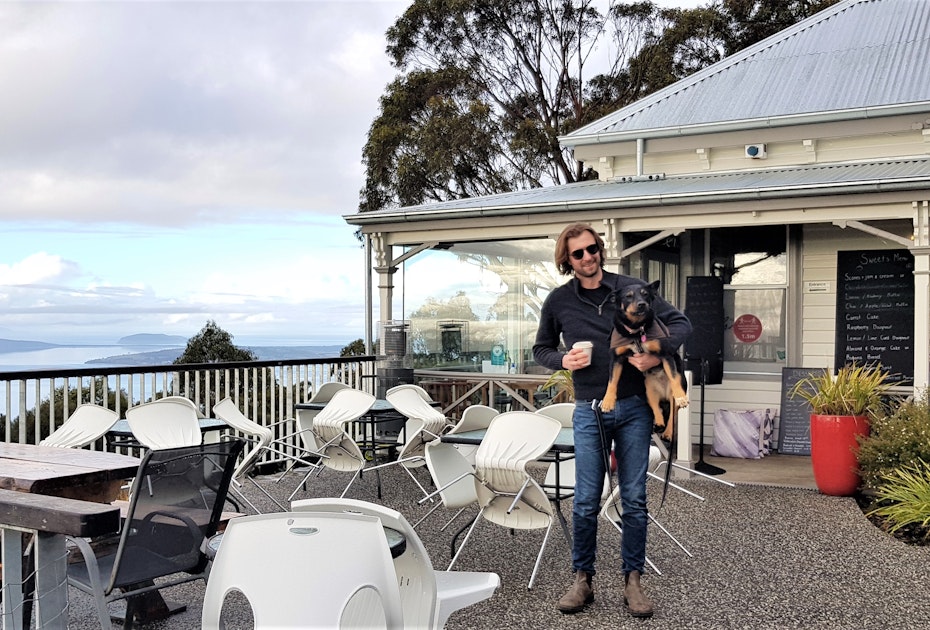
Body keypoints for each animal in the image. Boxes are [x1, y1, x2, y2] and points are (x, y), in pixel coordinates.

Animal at [600, 278, 684, 442]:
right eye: (628, 296)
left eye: (645, 294)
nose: (642, 304)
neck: (636, 331)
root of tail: (664, 394)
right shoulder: (616, 359)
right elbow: (612, 381)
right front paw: (608, 401)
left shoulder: (666, 354)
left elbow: (673, 376)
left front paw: (681, 396)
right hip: (649, 392)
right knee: (657, 408)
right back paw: (658, 422)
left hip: (671, 398)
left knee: (672, 416)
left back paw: (668, 432)